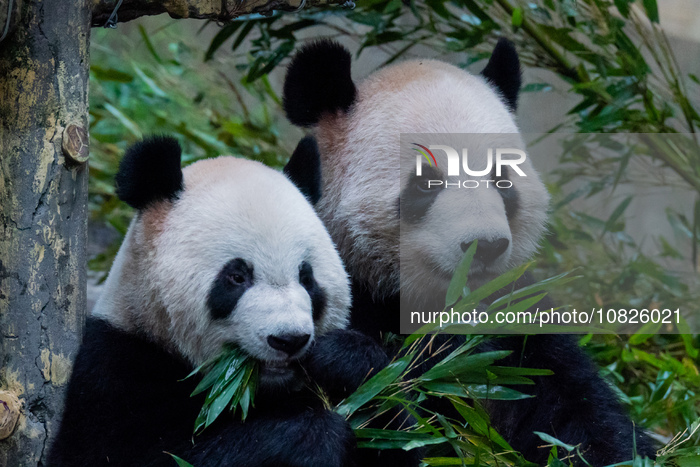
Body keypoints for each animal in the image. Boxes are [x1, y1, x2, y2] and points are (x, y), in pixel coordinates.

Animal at [48, 136, 391, 467]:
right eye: (237, 277)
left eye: (306, 277)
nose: (288, 339)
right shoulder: (116, 366)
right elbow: (126, 455)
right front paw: (314, 437)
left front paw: (342, 359)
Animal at [280, 39, 657, 465]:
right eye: (426, 182)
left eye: (502, 178)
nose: (486, 245)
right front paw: (350, 364)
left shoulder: (518, 322)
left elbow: (577, 412)